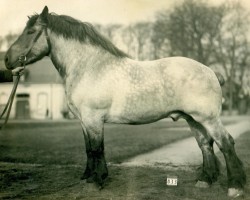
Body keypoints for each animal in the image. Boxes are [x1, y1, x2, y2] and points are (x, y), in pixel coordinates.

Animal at [4, 5, 246, 197]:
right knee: (205, 145)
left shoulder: (93, 119)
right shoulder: (84, 121)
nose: (7, 60)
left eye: (31, 32)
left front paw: (96, 181)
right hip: (193, 119)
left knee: (226, 143)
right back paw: (205, 181)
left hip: (208, 118)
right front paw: (90, 177)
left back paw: (235, 186)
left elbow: (96, 149)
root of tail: (211, 71)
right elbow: (89, 149)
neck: (90, 67)